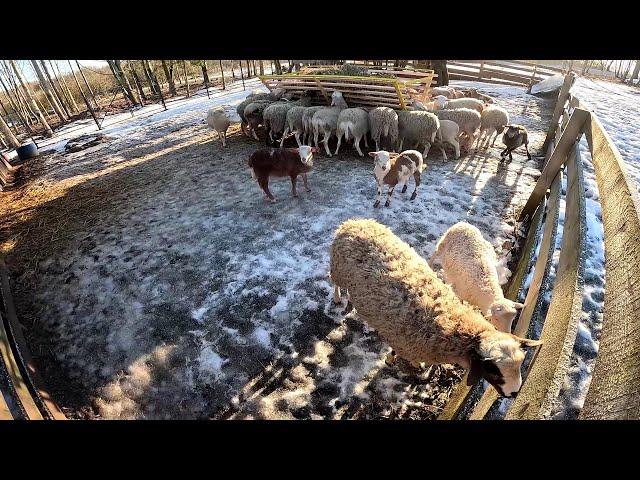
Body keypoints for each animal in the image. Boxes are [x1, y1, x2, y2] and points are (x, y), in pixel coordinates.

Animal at [330, 218, 540, 398]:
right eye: (494, 372)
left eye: (520, 365)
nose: (514, 393)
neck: (452, 325)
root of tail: (356, 221)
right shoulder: (403, 340)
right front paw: (392, 360)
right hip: (338, 270)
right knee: (334, 283)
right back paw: (338, 298)